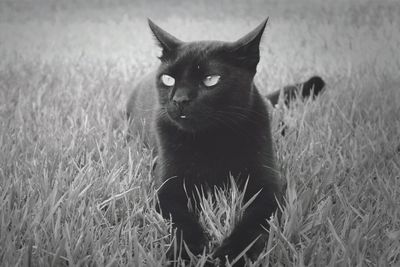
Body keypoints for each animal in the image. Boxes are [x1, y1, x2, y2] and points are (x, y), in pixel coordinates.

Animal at [126, 18, 324, 266]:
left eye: (210, 80)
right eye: (168, 79)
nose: (179, 99)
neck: (211, 140)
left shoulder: (266, 186)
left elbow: (253, 226)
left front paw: (230, 255)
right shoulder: (169, 188)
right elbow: (181, 223)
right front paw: (186, 254)